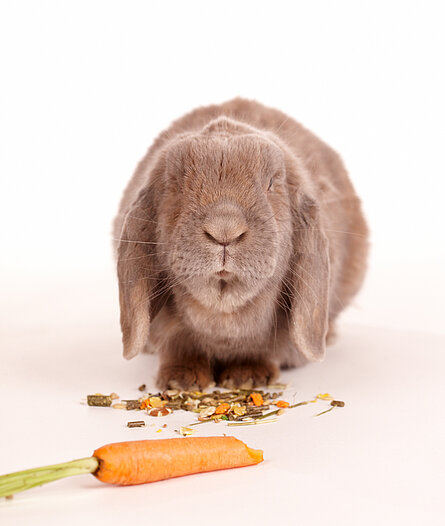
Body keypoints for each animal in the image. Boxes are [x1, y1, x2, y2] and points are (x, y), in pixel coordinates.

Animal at [113, 97, 369, 390]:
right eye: (175, 182)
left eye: (271, 184)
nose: (225, 229)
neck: (224, 309)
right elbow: (179, 349)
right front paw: (182, 380)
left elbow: (260, 351)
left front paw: (247, 377)